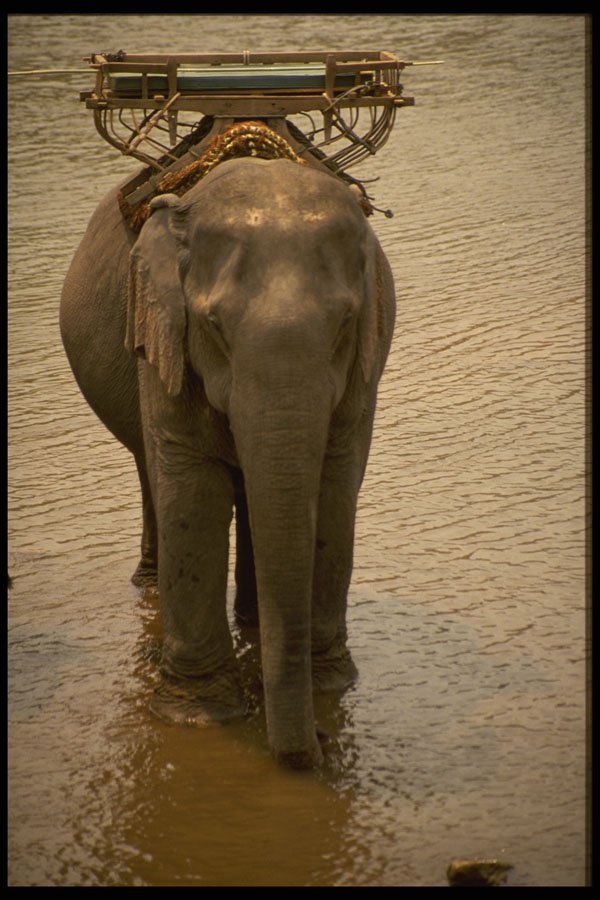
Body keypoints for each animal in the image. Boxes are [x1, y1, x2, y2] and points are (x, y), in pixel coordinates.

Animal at [60, 135, 395, 768]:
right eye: (213, 324)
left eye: (345, 322)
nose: (321, 743)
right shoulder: (163, 340)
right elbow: (191, 489)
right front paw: (198, 715)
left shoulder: (369, 358)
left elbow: (335, 486)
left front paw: (331, 687)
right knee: (152, 471)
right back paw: (154, 590)